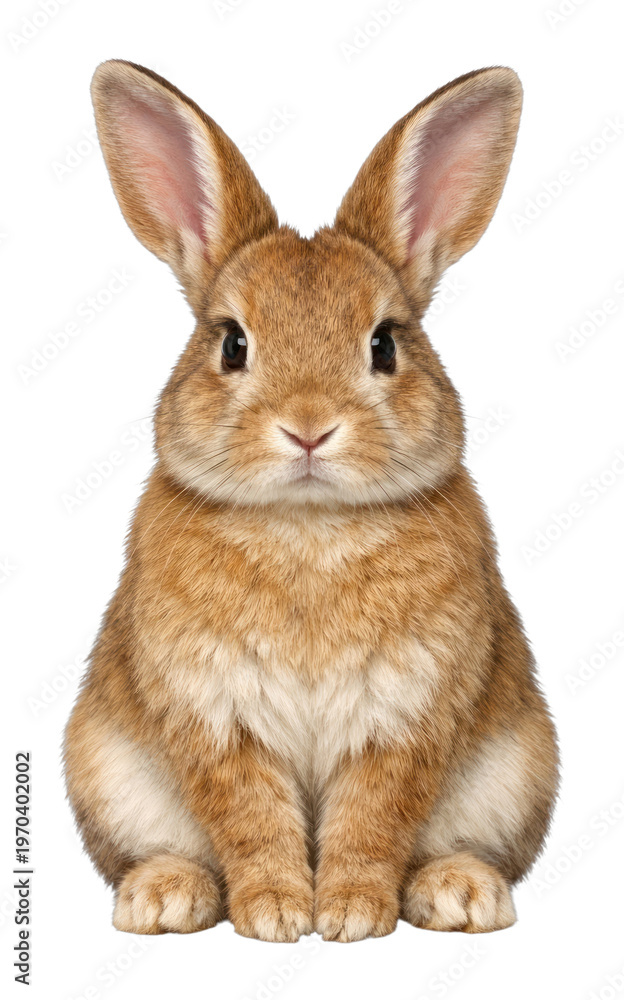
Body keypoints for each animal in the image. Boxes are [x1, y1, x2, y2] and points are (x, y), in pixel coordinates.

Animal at [64, 60, 559, 942]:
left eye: (384, 344)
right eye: (232, 343)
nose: (307, 427)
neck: (308, 525)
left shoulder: (403, 716)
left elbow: (372, 820)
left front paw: (353, 915)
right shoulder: (218, 718)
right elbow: (253, 821)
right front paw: (275, 916)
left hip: (516, 774)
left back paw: (462, 896)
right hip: (106, 771)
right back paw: (164, 898)